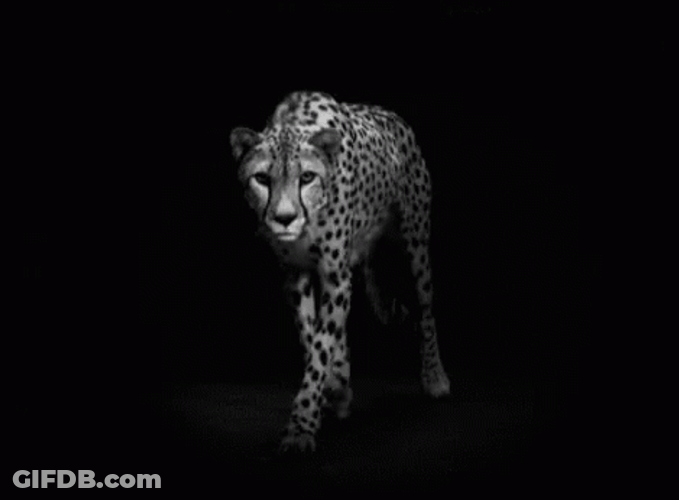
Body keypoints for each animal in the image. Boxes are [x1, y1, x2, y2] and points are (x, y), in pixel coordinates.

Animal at [230, 91, 450, 453]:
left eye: (307, 177)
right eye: (262, 179)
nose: (284, 218)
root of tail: (395, 117)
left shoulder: (335, 275)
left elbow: (321, 346)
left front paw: (301, 427)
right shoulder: (297, 275)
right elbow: (312, 336)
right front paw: (333, 387)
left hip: (415, 245)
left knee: (426, 310)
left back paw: (434, 377)